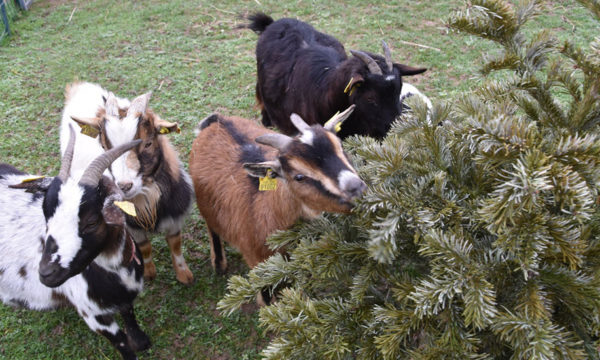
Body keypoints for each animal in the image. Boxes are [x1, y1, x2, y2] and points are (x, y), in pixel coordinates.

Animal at [0, 127, 149, 360]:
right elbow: (122, 343)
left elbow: (129, 315)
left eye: (91, 221)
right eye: (46, 216)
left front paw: (141, 340)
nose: (46, 273)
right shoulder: (92, 315)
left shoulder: (125, 297)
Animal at [189, 105, 366, 278]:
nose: (357, 188)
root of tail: (217, 120)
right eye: (299, 177)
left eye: (341, 149)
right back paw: (219, 263)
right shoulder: (258, 261)